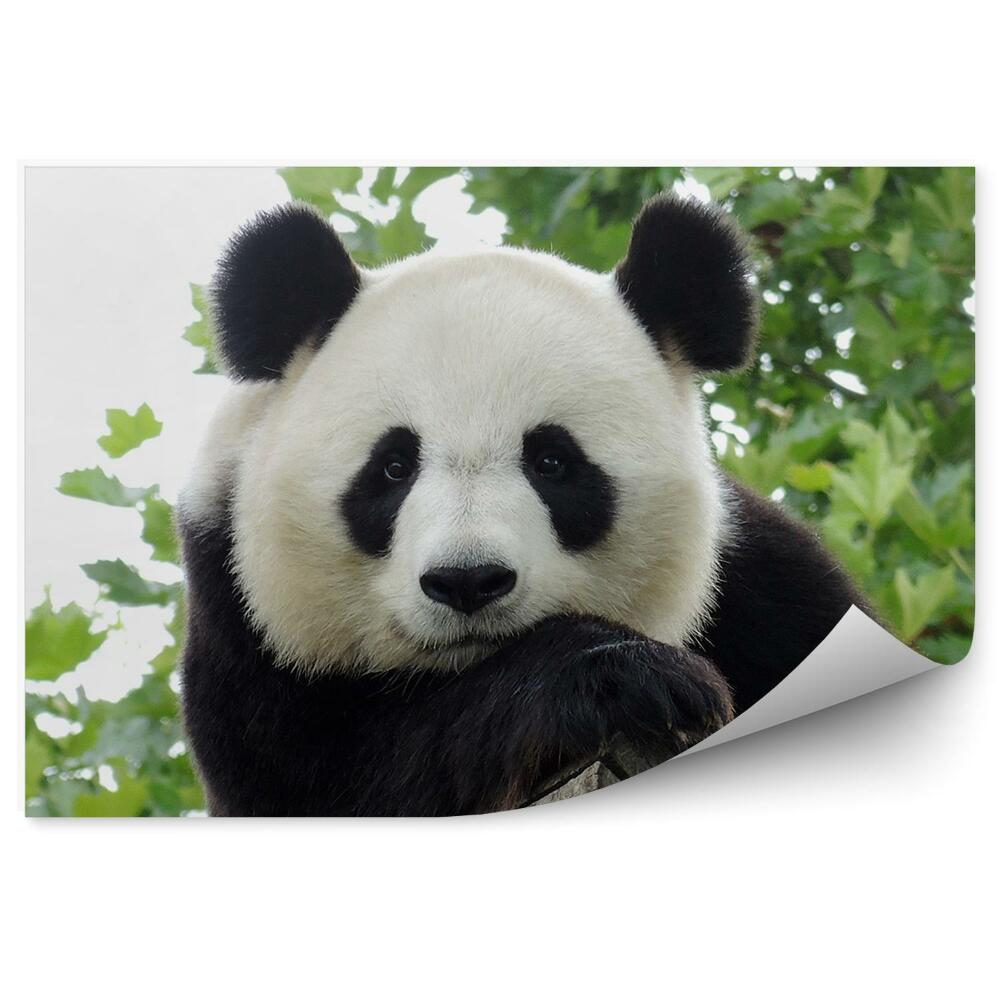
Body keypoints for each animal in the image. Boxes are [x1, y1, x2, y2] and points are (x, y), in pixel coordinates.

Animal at [178, 193, 867, 817]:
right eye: (393, 467)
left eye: (552, 462)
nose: (467, 582)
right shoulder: (242, 626)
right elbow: (346, 780)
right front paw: (630, 677)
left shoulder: (767, 586)